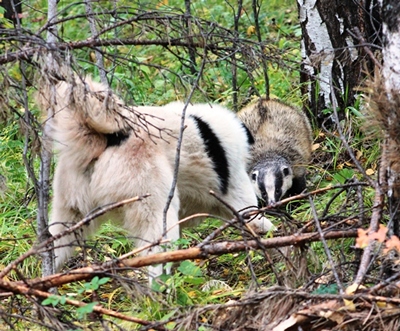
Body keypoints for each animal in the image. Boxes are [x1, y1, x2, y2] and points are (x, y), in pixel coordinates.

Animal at [36, 76, 276, 282]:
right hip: (151, 196)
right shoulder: (235, 182)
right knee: (157, 249)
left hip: (71, 206)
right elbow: (252, 213)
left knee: (58, 242)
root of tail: (107, 140)